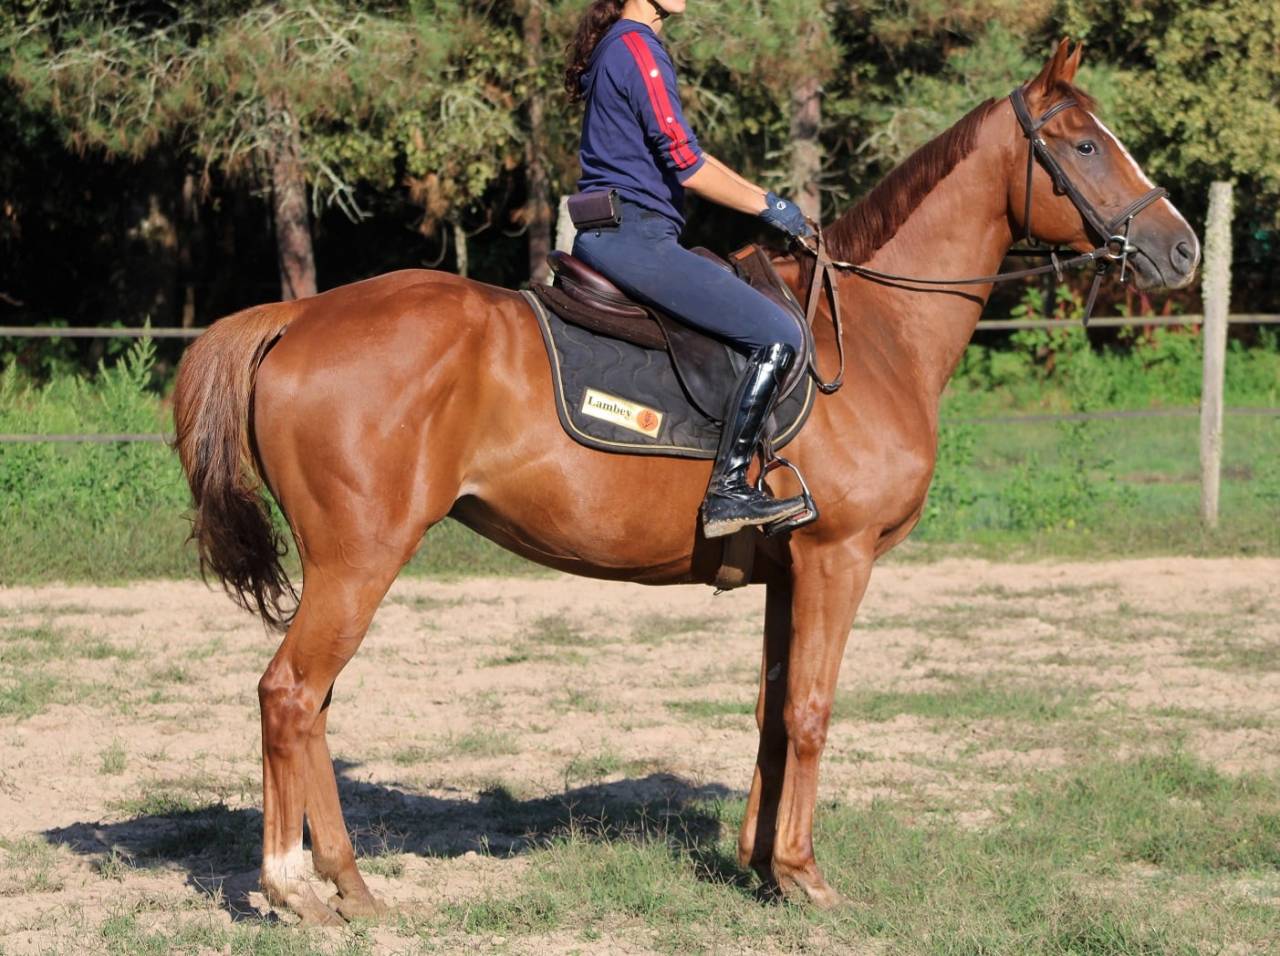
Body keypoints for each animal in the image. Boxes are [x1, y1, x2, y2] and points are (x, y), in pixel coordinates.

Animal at [172, 41, 1199, 925]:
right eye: (1083, 144)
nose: (1183, 250)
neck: (870, 334)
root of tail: (297, 316)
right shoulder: (840, 560)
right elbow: (813, 711)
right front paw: (804, 875)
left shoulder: (791, 572)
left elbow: (773, 711)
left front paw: (759, 866)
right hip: (361, 559)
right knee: (289, 697)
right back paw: (298, 889)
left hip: (349, 567)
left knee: (311, 706)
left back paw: (345, 884)